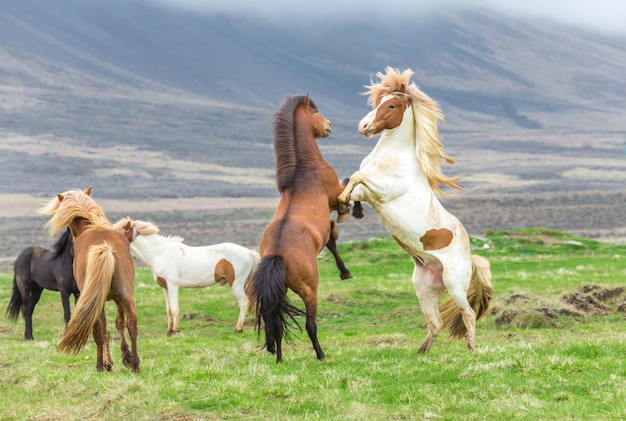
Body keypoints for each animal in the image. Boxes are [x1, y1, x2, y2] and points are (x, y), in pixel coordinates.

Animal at [114, 218, 258, 336]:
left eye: (118, 231)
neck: (159, 253)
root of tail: (249, 252)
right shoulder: (165, 287)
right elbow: (168, 310)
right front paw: (169, 332)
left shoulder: (173, 286)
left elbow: (175, 308)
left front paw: (176, 331)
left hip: (236, 284)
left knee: (243, 303)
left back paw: (238, 328)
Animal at [244, 94, 348, 360]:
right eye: (316, 112)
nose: (329, 125)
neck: (304, 169)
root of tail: (277, 256)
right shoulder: (335, 196)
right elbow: (348, 189)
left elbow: (331, 238)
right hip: (310, 290)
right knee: (310, 324)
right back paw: (321, 355)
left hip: (278, 294)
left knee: (276, 325)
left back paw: (279, 358)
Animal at [336, 68, 492, 352]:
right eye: (378, 101)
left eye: (392, 105)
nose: (363, 127)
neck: (392, 156)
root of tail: (471, 257)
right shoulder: (369, 192)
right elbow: (350, 181)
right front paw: (348, 208)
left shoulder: (383, 192)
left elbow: (356, 176)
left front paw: (344, 204)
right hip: (424, 288)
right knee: (436, 323)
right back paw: (421, 352)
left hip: (455, 285)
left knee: (468, 314)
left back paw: (471, 349)